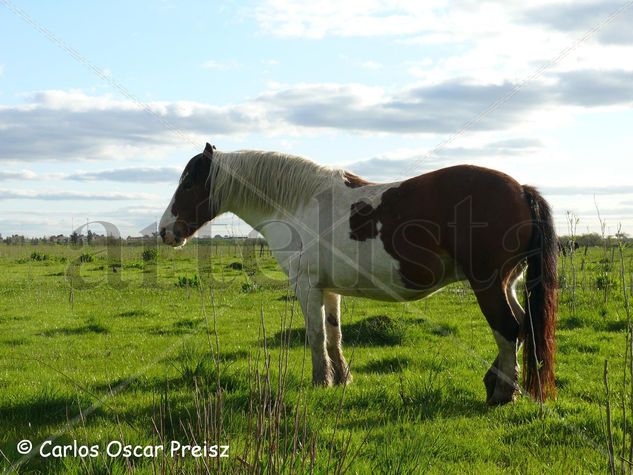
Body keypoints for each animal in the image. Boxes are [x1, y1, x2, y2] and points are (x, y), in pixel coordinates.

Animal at [160, 142, 556, 406]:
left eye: (189, 184)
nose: (165, 231)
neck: (298, 204)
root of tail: (521, 190)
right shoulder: (329, 289)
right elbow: (334, 336)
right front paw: (342, 379)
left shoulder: (306, 286)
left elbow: (316, 336)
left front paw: (320, 382)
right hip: (508, 283)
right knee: (522, 327)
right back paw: (497, 384)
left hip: (487, 284)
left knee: (508, 329)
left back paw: (503, 393)